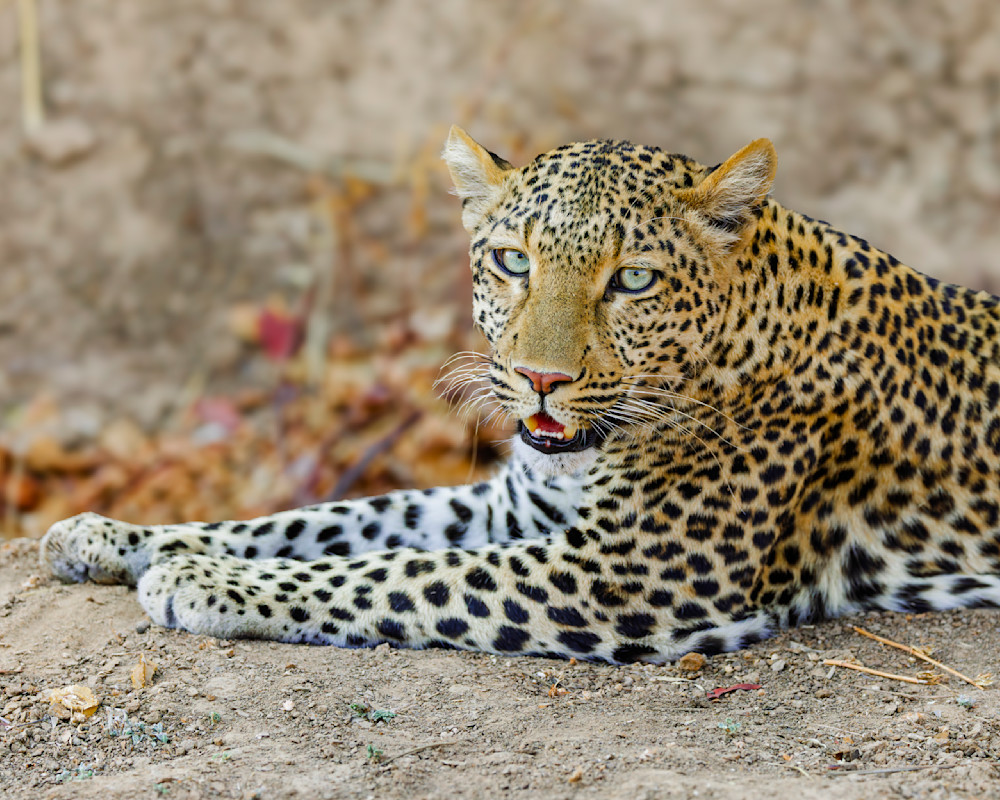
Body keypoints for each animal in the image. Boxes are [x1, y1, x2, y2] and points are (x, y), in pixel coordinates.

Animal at [41, 126, 1000, 663]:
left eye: (633, 280)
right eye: (512, 262)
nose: (543, 379)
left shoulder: (624, 573)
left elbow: (395, 571)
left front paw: (204, 581)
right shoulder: (517, 508)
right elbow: (328, 521)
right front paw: (111, 536)